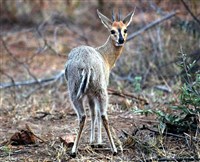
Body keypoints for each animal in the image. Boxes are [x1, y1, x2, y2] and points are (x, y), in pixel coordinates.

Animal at [65, 8, 134, 157]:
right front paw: (97, 142)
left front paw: (94, 142)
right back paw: (114, 149)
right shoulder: (93, 94)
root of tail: (86, 64)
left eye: (125, 29)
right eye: (112, 31)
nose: (121, 40)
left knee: (84, 116)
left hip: (77, 94)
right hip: (101, 92)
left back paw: (74, 150)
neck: (104, 55)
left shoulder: (90, 94)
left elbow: (93, 113)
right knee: (102, 115)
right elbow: (95, 113)